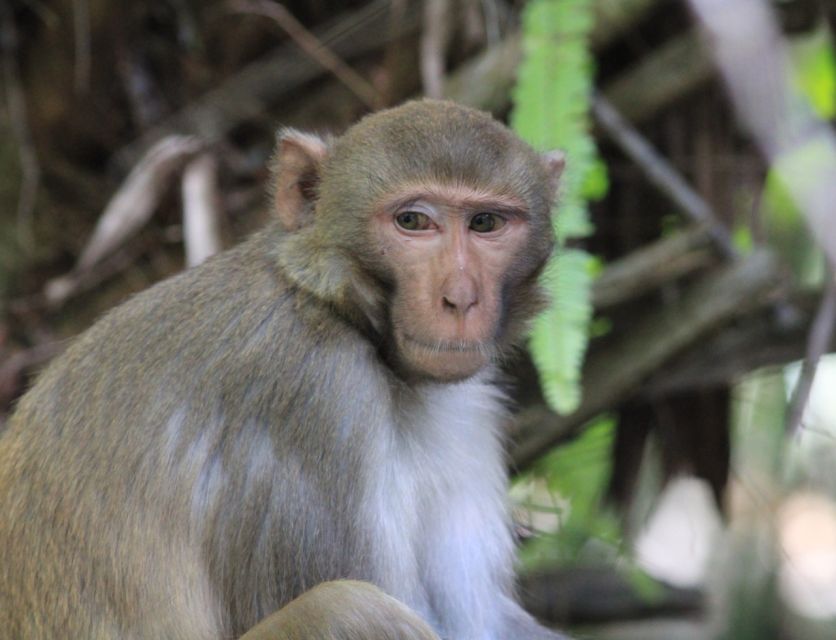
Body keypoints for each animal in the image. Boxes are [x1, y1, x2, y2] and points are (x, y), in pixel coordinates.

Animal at [0, 99, 567, 639]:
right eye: (413, 221)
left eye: (485, 223)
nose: (461, 298)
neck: (330, 302)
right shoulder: (312, 389)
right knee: (353, 608)